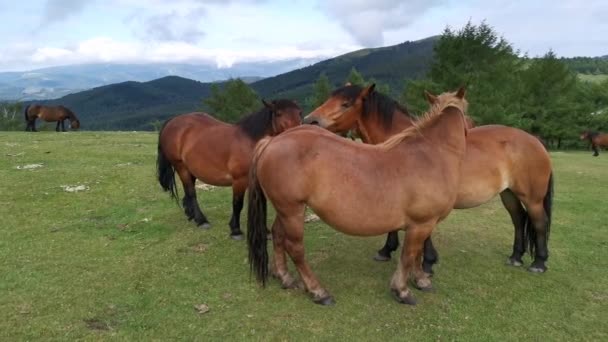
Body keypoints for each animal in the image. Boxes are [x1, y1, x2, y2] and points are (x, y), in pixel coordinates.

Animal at [156, 98, 300, 238]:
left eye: (299, 112)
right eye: (278, 113)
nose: (297, 135)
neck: (251, 143)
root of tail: (173, 121)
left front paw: (265, 231)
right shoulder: (239, 181)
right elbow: (237, 204)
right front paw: (235, 230)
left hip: (190, 169)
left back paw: (191, 215)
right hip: (181, 167)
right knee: (191, 192)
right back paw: (201, 220)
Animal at [247, 87, 470, 304]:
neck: (430, 154)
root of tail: (272, 141)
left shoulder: (422, 225)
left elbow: (417, 254)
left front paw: (421, 280)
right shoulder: (421, 224)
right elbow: (409, 255)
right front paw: (402, 290)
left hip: (286, 210)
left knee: (277, 235)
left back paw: (284, 277)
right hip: (292, 211)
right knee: (295, 248)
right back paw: (318, 291)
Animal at [304, 86, 556, 276]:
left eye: (345, 104)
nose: (309, 121)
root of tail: (535, 141)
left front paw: (427, 262)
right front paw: (387, 251)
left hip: (532, 197)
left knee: (539, 222)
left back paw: (539, 263)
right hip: (509, 194)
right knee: (519, 219)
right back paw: (516, 257)